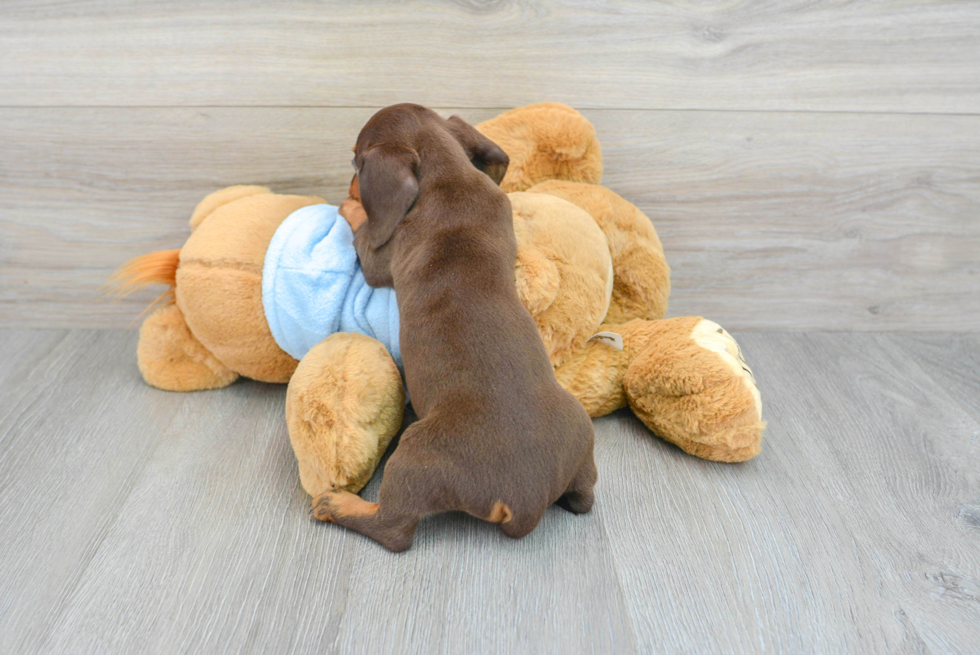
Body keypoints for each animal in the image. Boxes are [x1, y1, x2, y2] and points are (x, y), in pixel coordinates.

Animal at [314, 104, 596, 552]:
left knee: (393, 529)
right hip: (581, 438)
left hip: (413, 454)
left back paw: (336, 503)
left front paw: (350, 205)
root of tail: (524, 499)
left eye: (356, 162)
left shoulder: (380, 259)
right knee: (584, 498)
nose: (349, 184)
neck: (448, 175)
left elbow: (363, 234)